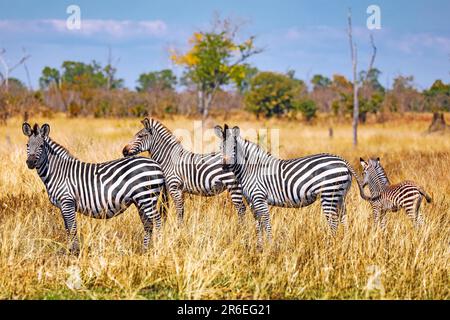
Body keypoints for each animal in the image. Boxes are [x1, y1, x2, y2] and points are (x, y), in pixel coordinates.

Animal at [21, 122, 165, 255]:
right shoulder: (62, 206)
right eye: (27, 145)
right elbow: (67, 229)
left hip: (147, 198)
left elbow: (72, 229)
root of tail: (156, 165)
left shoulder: (67, 202)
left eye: (41, 146)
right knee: (148, 225)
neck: (57, 172)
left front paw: (75, 253)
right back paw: (145, 251)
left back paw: (158, 250)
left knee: (158, 222)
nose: (30, 163)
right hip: (140, 201)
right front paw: (70, 252)